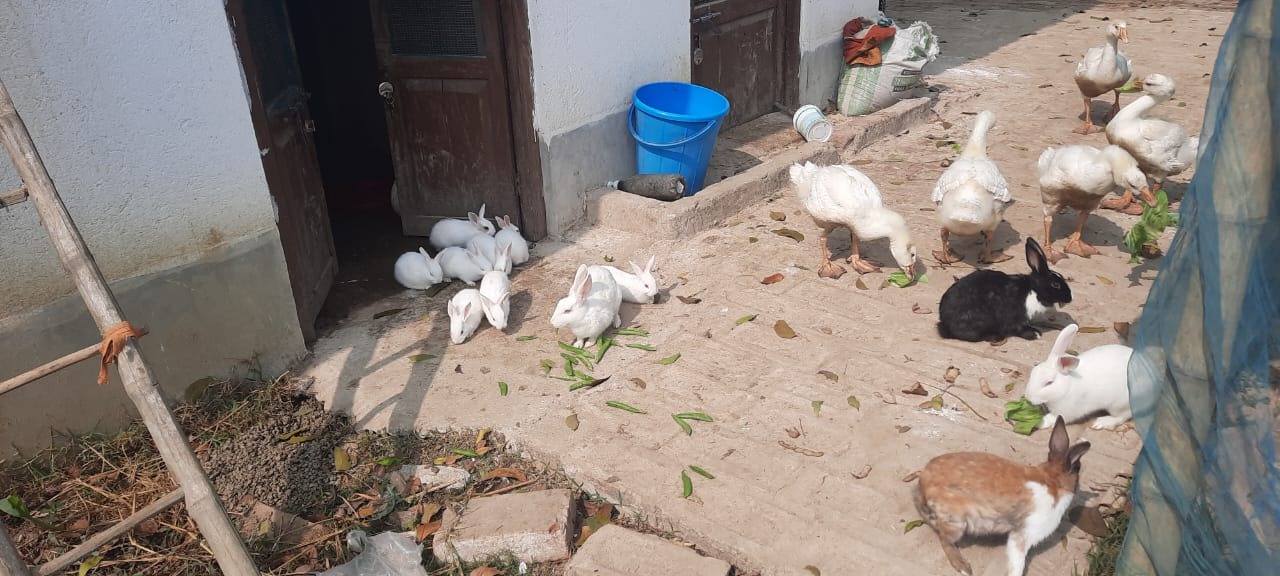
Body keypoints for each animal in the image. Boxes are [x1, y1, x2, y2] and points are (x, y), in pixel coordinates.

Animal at [914, 415, 1091, 576]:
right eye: (1078, 469)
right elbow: (1017, 564)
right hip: (957, 523)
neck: (1053, 482)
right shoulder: (1022, 535)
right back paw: (964, 567)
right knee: (945, 541)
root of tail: (922, 486)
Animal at [937, 238, 1072, 342]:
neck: (1033, 289)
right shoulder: (1015, 317)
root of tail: (945, 325)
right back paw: (995, 337)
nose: (1070, 298)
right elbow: (1018, 328)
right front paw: (1034, 334)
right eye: (1055, 284)